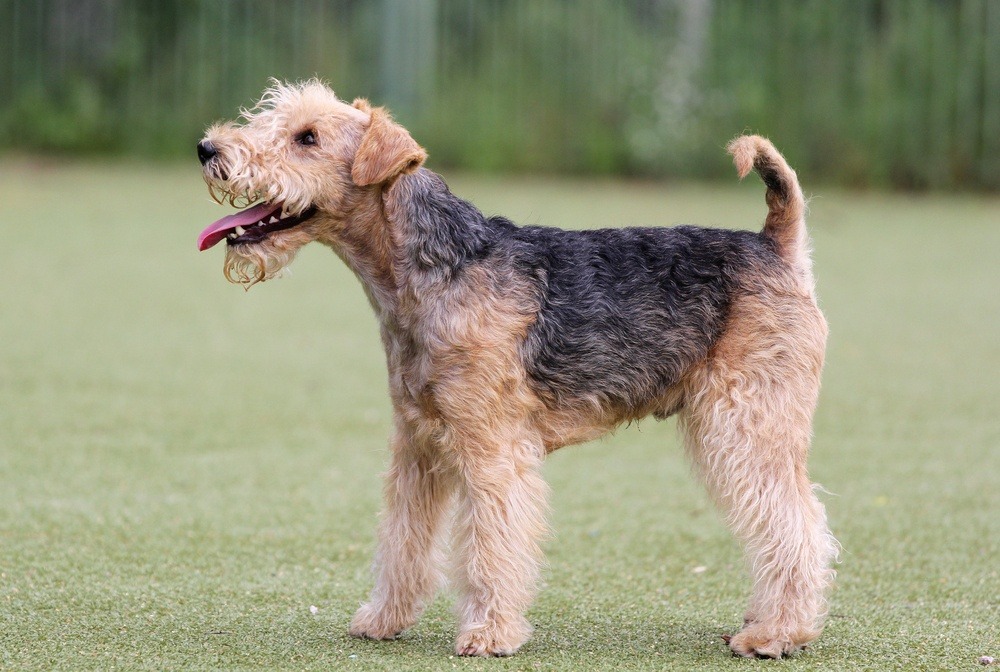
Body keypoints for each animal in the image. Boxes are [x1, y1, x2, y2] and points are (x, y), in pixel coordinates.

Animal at [195, 81, 836, 660]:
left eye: (308, 137)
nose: (207, 148)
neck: (431, 273)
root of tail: (777, 246)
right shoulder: (417, 444)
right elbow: (403, 539)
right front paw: (382, 620)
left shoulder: (490, 449)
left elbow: (490, 548)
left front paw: (488, 635)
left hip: (746, 423)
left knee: (798, 525)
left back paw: (776, 634)